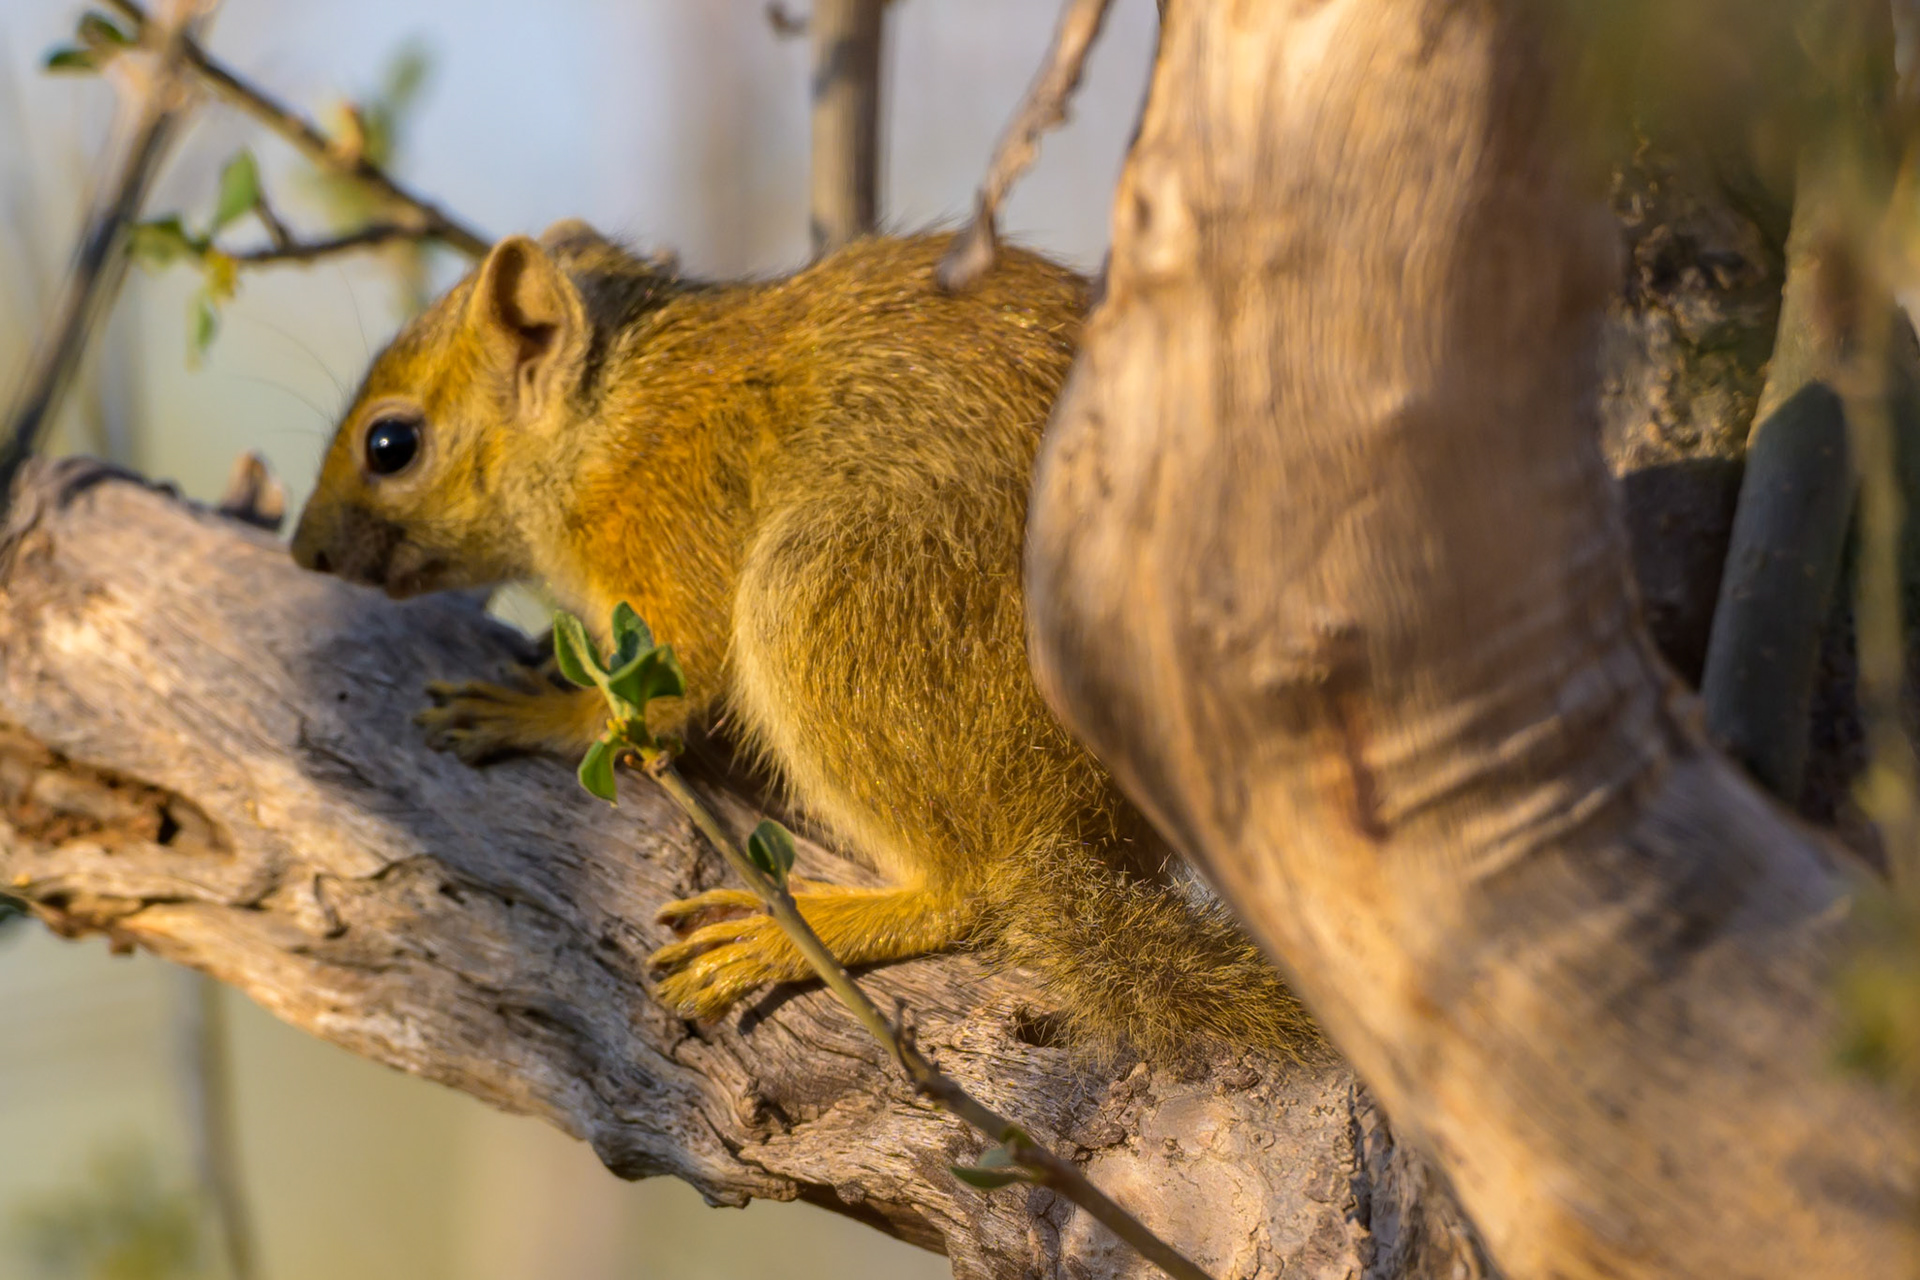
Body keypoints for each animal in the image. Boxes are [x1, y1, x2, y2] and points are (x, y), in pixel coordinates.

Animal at [290, 221, 1317, 1062]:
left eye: (392, 446)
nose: (305, 552)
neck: (611, 414)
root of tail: (1086, 828)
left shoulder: (671, 524)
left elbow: (666, 689)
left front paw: (535, 711)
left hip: (827, 597)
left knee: (967, 892)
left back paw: (794, 929)